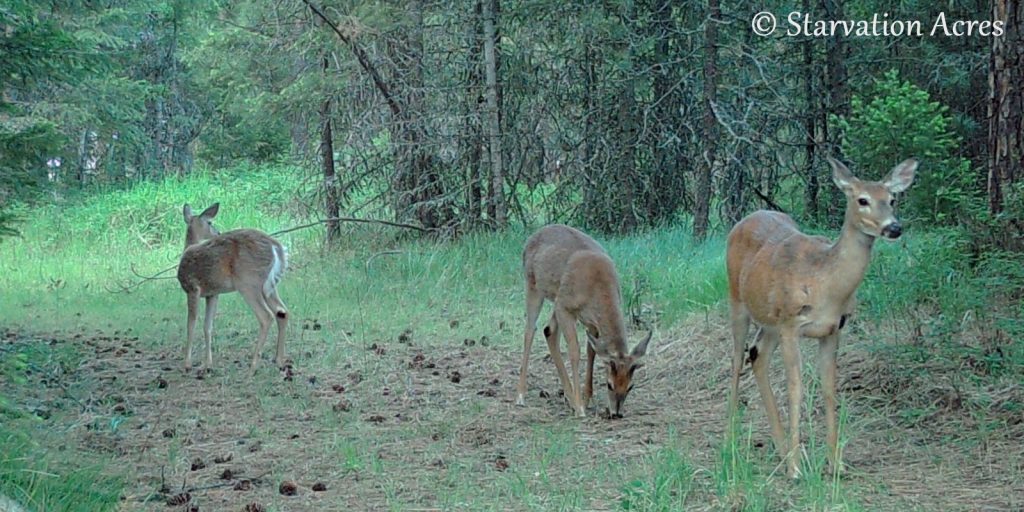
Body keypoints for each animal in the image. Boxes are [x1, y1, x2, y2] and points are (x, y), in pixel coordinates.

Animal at [176, 201, 288, 374]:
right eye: (210, 223)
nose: (218, 232)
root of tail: (276, 247)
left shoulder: (192, 287)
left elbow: (191, 324)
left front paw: (187, 364)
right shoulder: (212, 294)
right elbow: (208, 326)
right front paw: (207, 365)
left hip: (248, 282)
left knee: (266, 316)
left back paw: (253, 366)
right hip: (270, 286)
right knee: (282, 312)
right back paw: (279, 361)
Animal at [516, 226, 651, 417]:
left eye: (630, 386)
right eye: (609, 384)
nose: (617, 413)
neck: (597, 285)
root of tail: (530, 239)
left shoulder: (591, 322)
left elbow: (591, 352)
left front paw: (587, 400)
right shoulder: (566, 307)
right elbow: (574, 351)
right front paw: (580, 407)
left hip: (556, 298)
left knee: (549, 331)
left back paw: (569, 397)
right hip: (533, 286)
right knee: (530, 331)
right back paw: (521, 396)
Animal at [724, 157, 917, 477]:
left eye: (892, 199)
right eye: (862, 199)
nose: (894, 227)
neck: (826, 283)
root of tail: (745, 218)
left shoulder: (833, 329)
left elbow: (829, 389)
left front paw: (835, 463)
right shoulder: (792, 325)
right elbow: (796, 389)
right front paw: (796, 469)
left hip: (771, 322)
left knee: (757, 355)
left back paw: (780, 448)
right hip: (738, 301)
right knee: (737, 358)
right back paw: (733, 441)